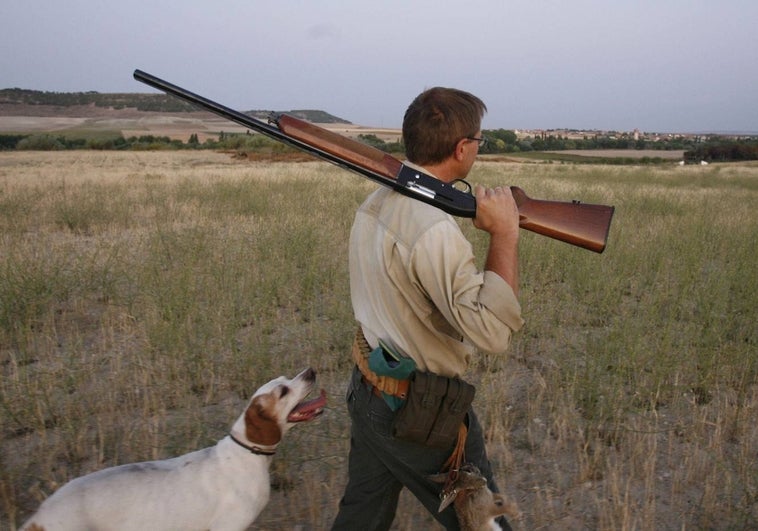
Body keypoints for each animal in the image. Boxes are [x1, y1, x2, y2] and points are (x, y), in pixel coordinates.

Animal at [23, 368, 326, 531]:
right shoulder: (229, 525)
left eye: (286, 378)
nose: (311, 371)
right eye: (283, 391)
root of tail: (38, 518)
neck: (245, 454)